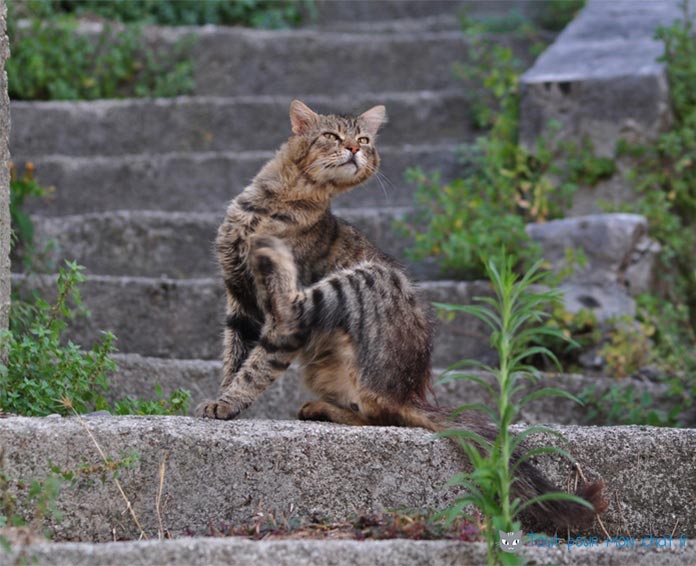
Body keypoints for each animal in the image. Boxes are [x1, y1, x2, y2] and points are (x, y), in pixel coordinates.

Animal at [196, 100, 604, 532]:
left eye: (363, 140)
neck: (273, 204)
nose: (353, 150)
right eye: (332, 136)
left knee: (377, 411)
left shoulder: (274, 319)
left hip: (364, 280)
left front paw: (227, 403)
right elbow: (235, 361)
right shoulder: (239, 302)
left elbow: (256, 367)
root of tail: (409, 391)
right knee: (371, 413)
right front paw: (224, 398)